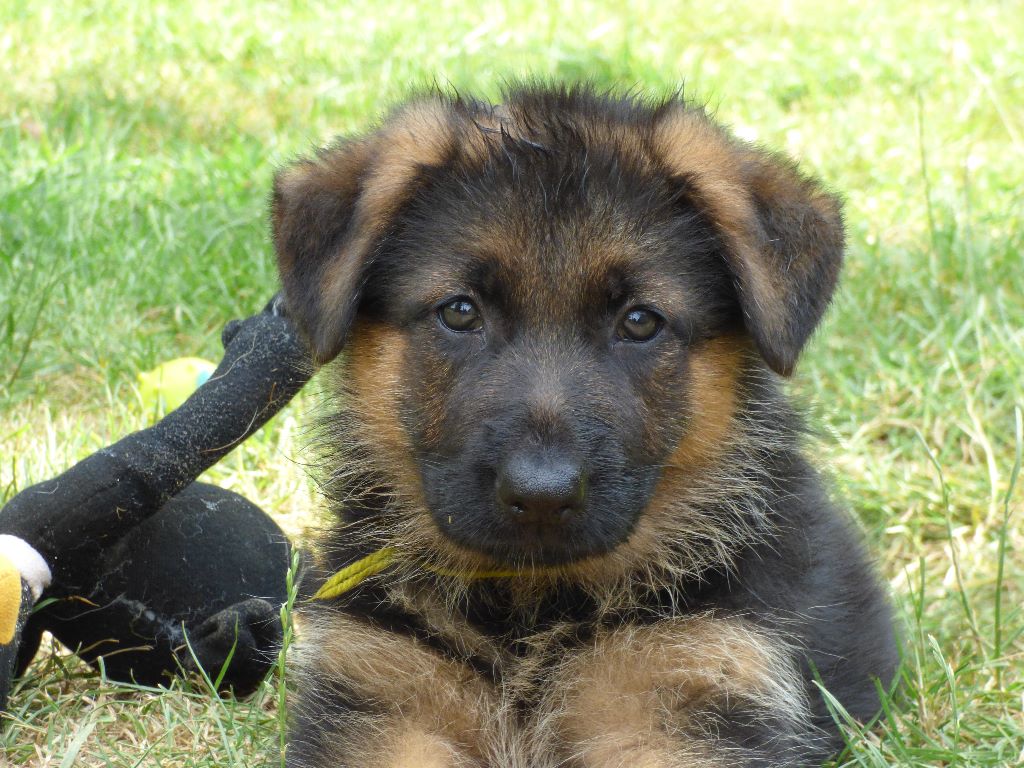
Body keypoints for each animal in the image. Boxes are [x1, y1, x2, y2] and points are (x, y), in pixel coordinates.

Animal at [274, 85, 897, 768]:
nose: (541, 496)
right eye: (460, 311)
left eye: (640, 321)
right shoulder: (385, 699)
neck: (532, 605)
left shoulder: (681, 695)